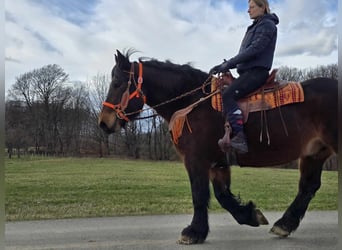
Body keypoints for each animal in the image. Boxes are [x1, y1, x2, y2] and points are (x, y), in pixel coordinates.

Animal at [97, 49, 338, 245]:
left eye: (117, 83)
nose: (104, 122)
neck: (193, 104)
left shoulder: (196, 160)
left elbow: (199, 194)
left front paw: (193, 232)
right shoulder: (217, 164)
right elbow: (222, 196)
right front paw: (249, 215)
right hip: (314, 153)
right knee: (308, 187)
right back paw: (284, 224)